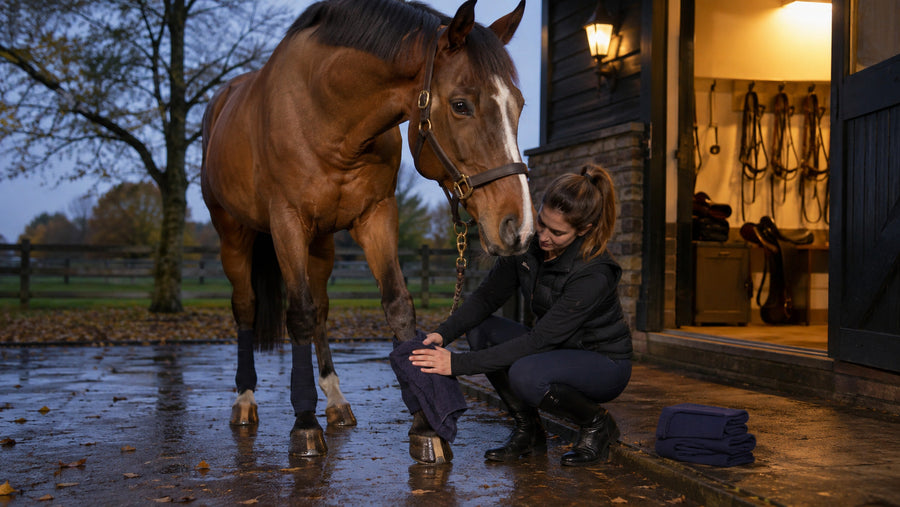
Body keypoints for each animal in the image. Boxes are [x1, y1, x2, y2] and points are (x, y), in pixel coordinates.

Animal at [200, 0, 532, 464]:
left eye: (518, 104)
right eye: (461, 104)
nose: (518, 225)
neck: (327, 113)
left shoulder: (376, 217)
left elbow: (397, 307)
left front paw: (424, 426)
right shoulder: (287, 222)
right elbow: (297, 314)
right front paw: (304, 425)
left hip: (322, 243)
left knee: (321, 308)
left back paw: (336, 401)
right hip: (234, 233)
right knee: (247, 307)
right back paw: (245, 400)